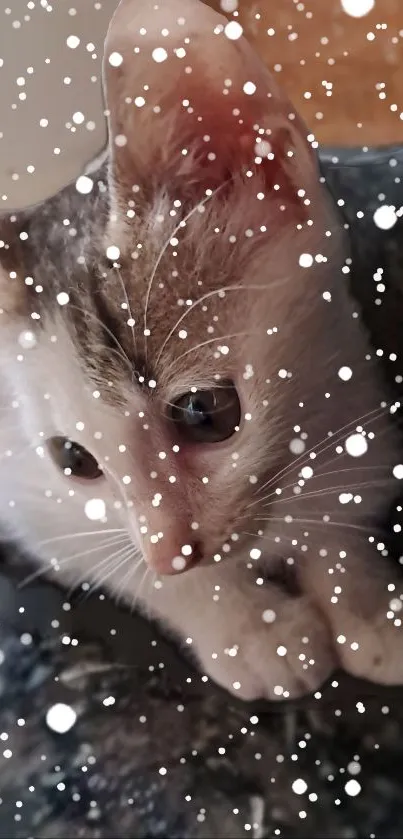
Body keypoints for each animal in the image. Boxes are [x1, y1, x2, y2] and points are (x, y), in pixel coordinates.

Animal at [0, 0, 402, 700]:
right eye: (73, 460)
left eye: (204, 413)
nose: (170, 552)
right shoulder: (31, 506)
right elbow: (123, 565)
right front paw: (254, 631)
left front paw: (364, 600)